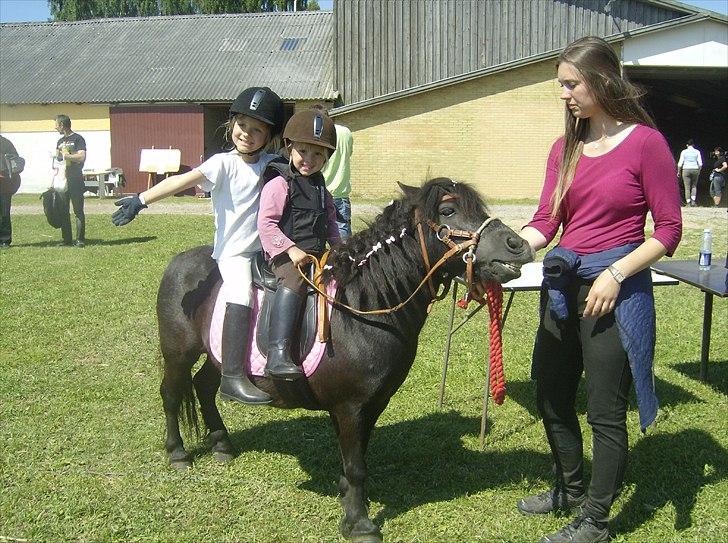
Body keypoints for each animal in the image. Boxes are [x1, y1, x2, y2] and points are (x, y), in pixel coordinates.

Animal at [156, 177, 532, 540]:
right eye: (449, 211)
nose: (519, 245)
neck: (363, 306)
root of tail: (179, 261)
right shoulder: (350, 406)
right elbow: (356, 465)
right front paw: (359, 523)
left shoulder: (373, 403)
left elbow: (357, 455)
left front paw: (347, 496)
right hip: (178, 353)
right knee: (172, 394)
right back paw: (178, 453)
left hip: (214, 354)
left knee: (205, 387)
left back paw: (222, 445)